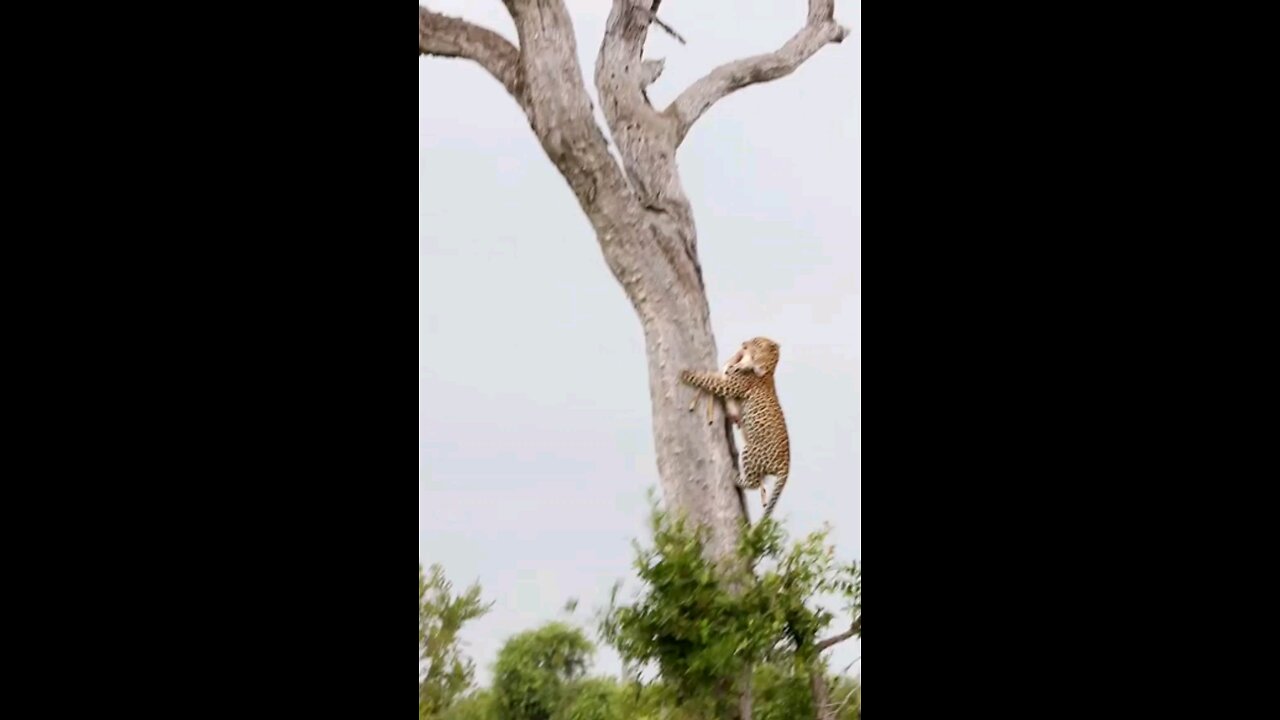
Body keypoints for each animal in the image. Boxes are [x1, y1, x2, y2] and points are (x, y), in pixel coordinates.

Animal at [680, 335, 788, 515]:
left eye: (756, 342)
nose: (744, 344)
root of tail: (786, 466)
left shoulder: (728, 386)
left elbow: (707, 380)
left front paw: (686, 374)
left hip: (750, 451)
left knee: (752, 482)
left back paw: (735, 477)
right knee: (760, 483)